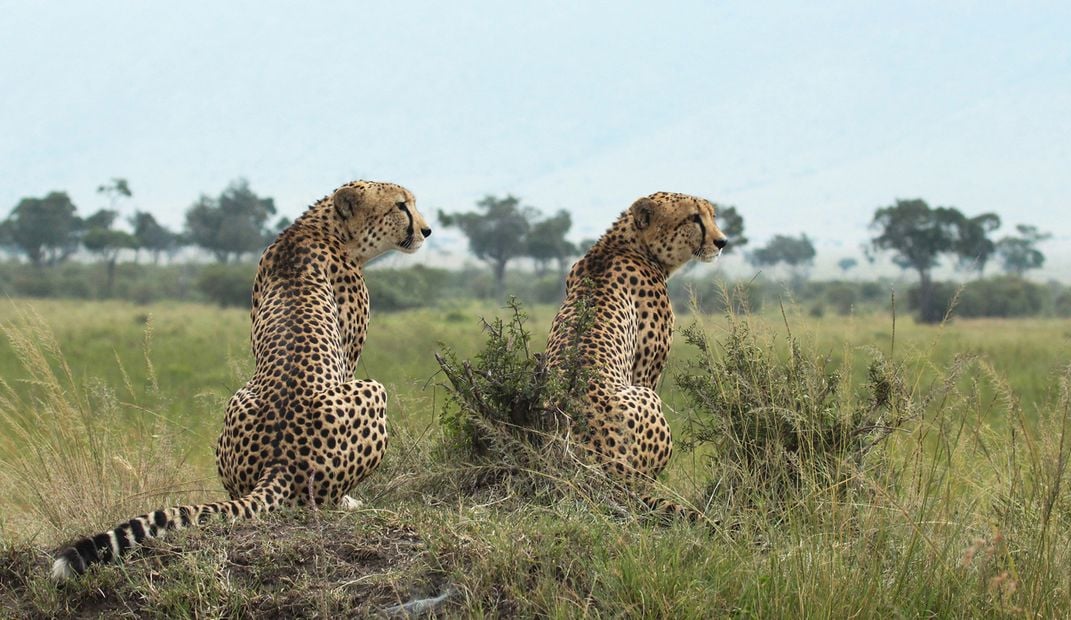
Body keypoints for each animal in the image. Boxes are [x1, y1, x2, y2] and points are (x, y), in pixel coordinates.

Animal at [53, 182, 430, 578]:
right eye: (401, 206)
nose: (426, 230)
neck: (323, 229)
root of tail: (280, 461)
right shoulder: (350, 358)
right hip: (373, 390)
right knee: (321, 499)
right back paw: (347, 502)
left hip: (237, 400)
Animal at [544, 192, 728, 518]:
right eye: (694, 217)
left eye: (712, 215)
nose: (722, 242)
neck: (623, 246)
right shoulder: (646, 372)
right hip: (647, 400)